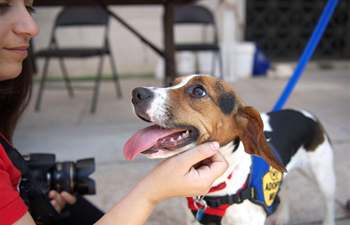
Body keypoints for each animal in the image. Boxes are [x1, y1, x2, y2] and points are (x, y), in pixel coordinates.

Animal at [123, 75, 336, 225]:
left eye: (198, 91)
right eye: (170, 83)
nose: (136, 93)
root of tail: (307, 113)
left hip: (324, 177)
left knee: (329, 203)